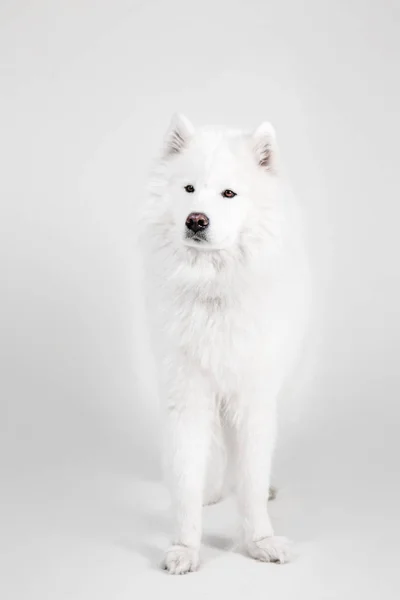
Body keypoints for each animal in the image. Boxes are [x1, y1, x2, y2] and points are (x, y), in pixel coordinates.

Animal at [141, 115, 310, 576]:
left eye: (228, 193)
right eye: (189, 189)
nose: (196, 220)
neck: (212, 285)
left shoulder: (251, 397)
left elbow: (250, 478)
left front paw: (260, 541)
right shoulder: (187, 395)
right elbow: (185, 477)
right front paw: (185, 547)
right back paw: (211, 490)